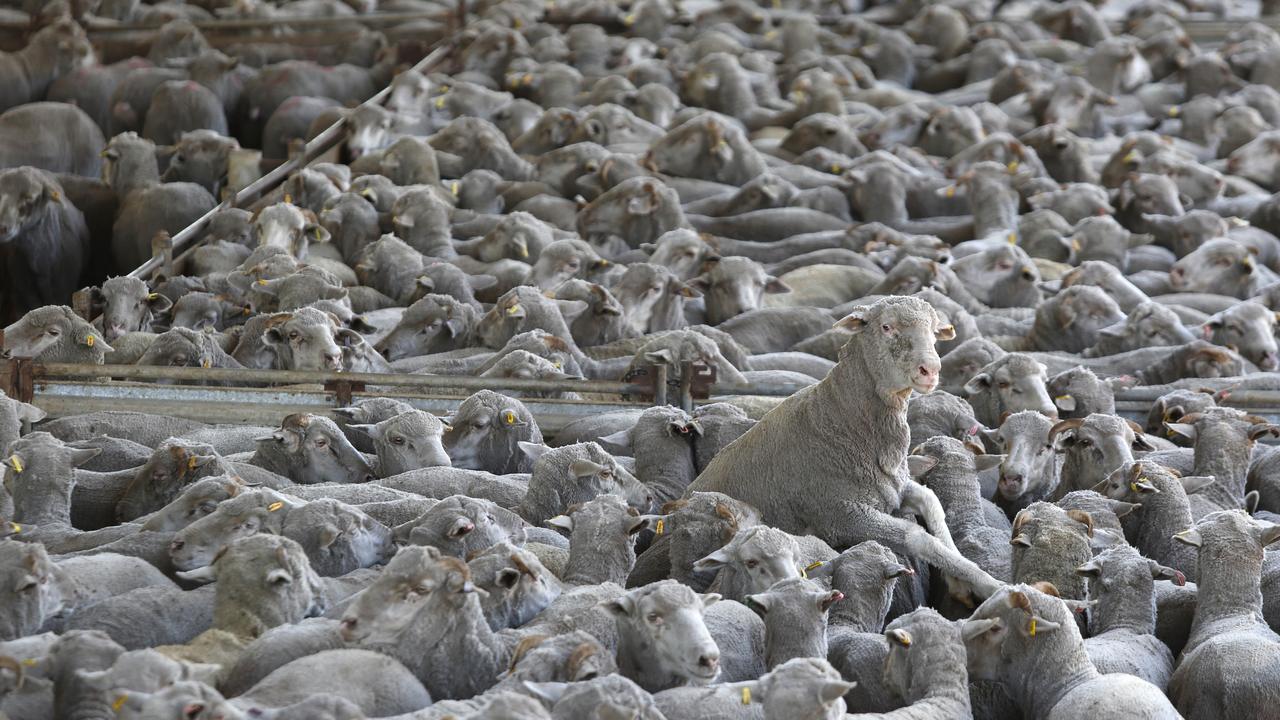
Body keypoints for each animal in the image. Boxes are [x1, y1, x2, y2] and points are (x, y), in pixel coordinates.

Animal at [691, 294, 998, 602]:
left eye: (934, 331)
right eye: (886, 327)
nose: (931, 370)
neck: (841, 420)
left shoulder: (892, 488)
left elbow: (931, 501)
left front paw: (961, 572)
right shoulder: (842, 515)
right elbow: (917, 537)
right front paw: (990, 584)